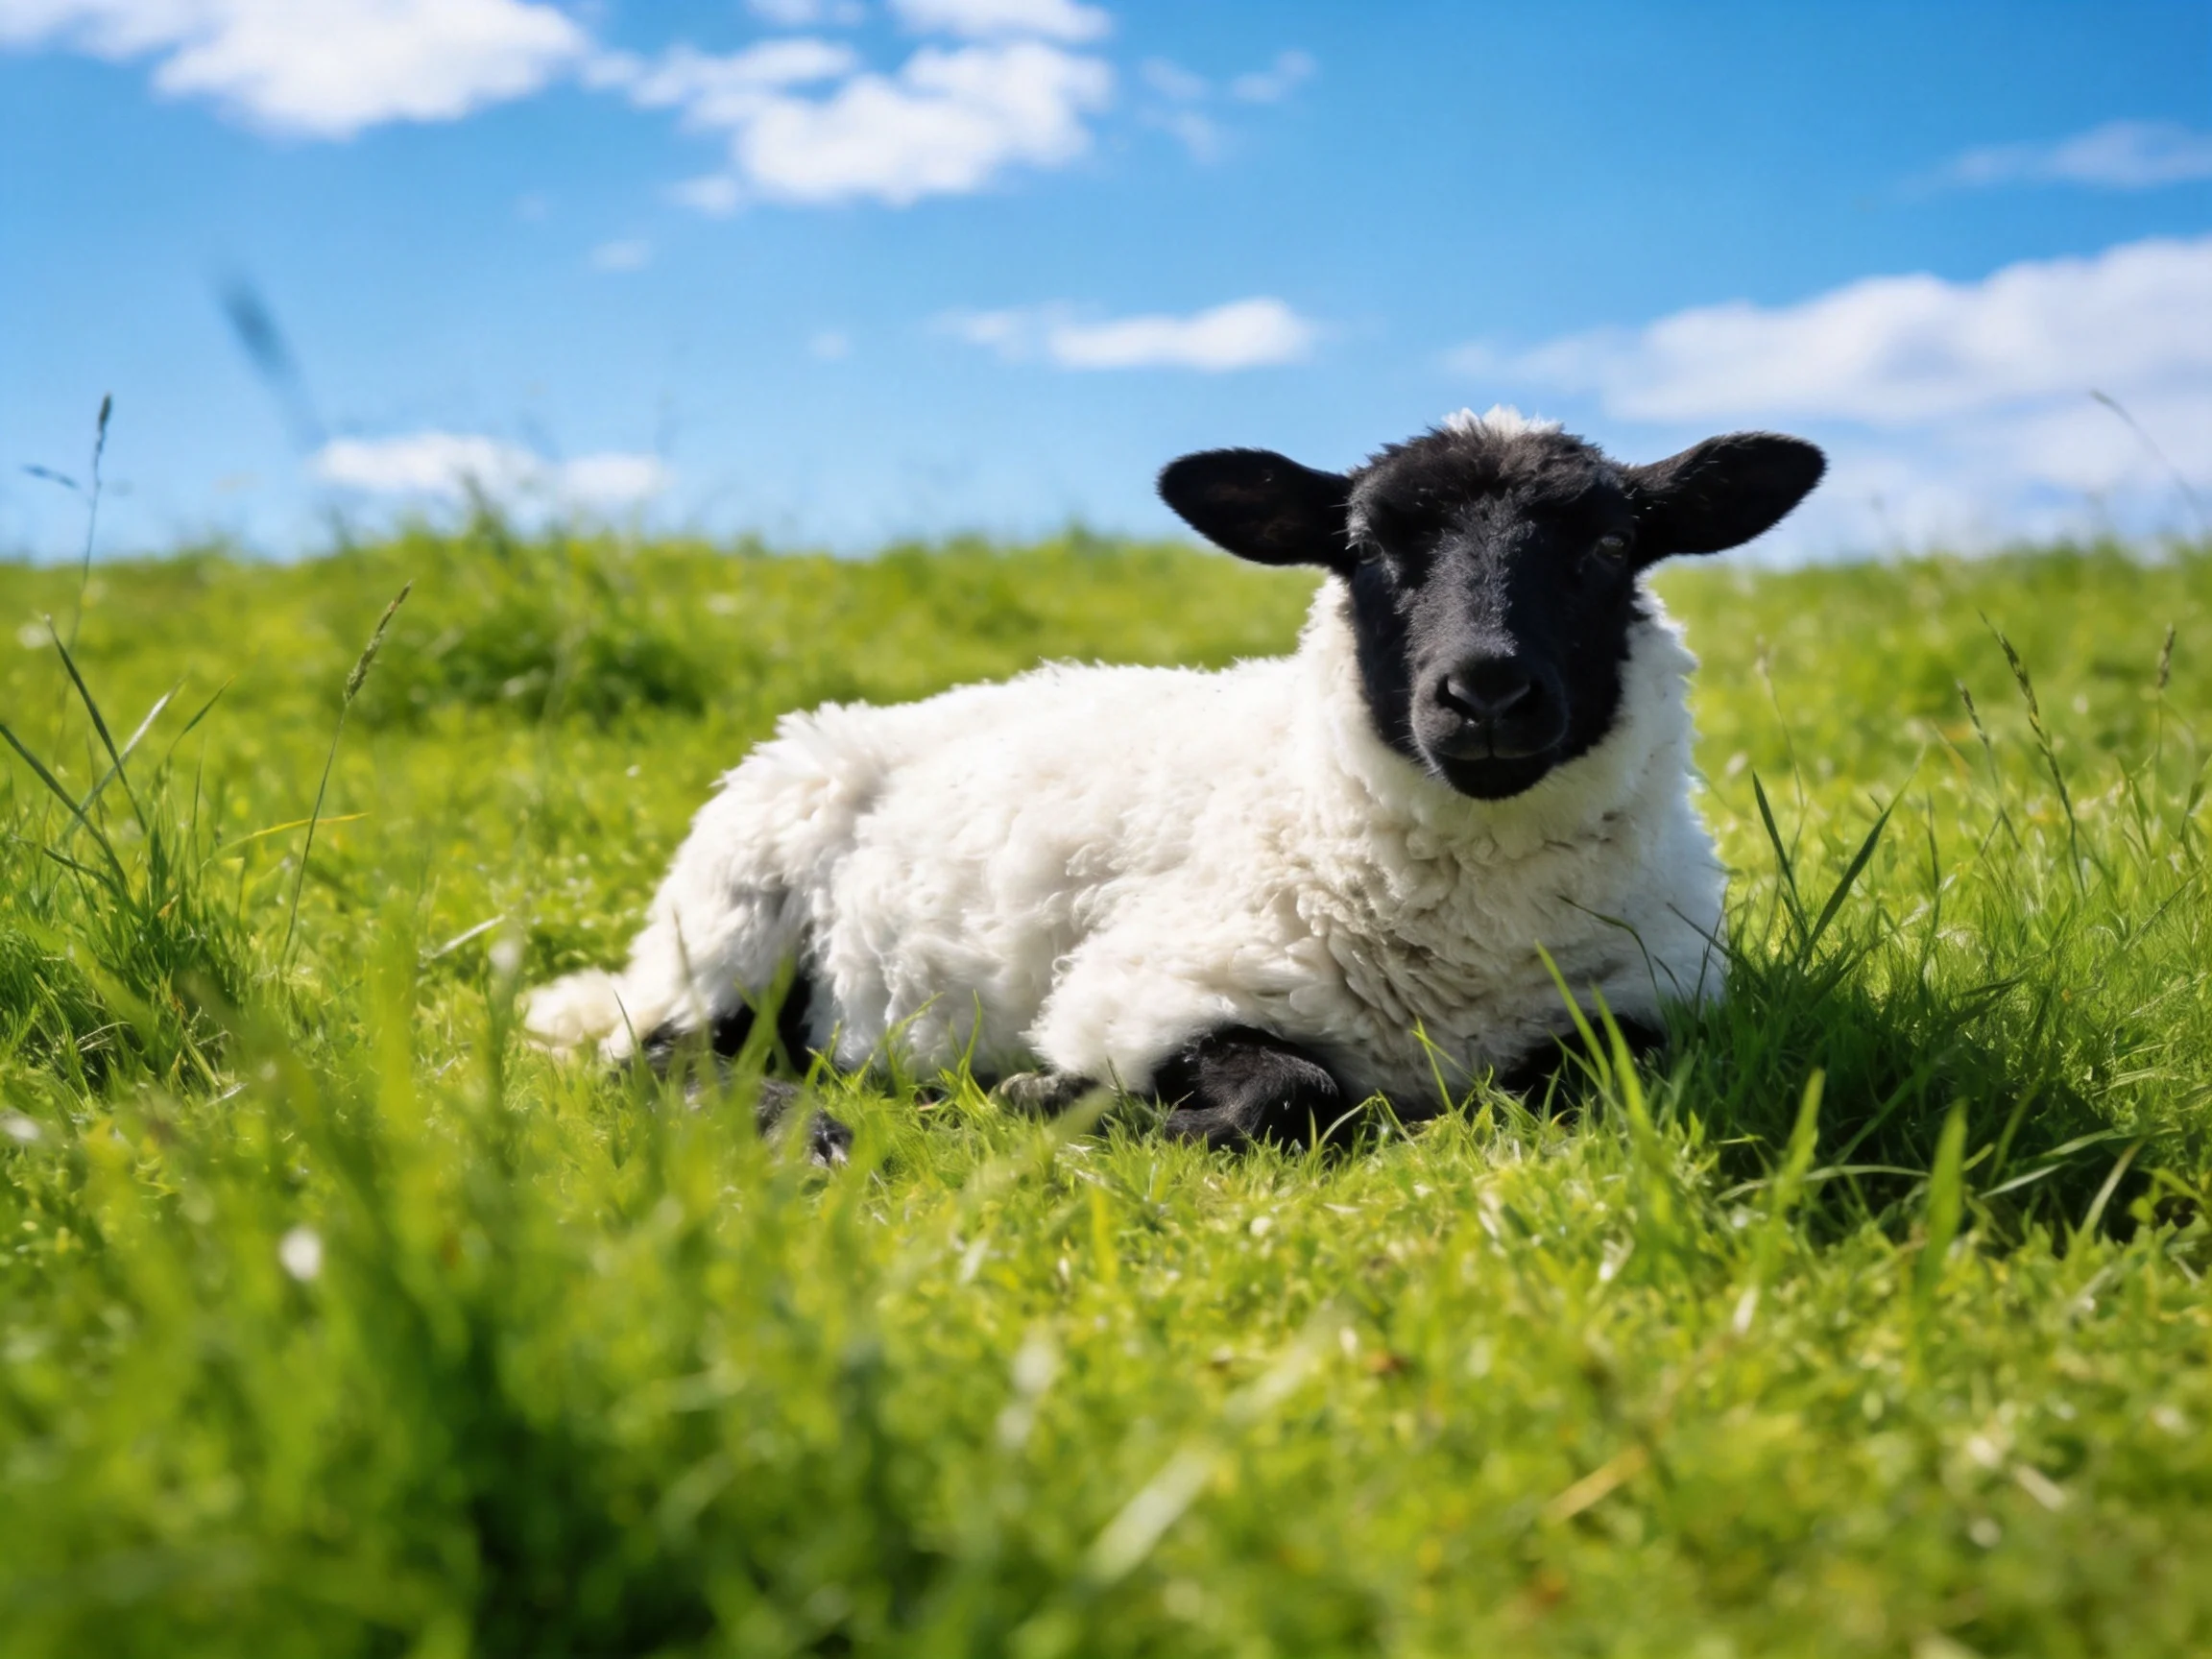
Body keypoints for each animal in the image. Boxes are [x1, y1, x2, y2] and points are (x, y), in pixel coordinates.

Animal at [524, 407, 1824, 1151]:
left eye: (1609, 545)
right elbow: (1288, 1094)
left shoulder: (1649, 1005)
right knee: (663, 1057)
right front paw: (1045, 1101)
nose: (1489, 694)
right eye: (1364, 549)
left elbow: (1587, 1079)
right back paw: (812, 1127)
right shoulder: (1149, 987)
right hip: (734, 914)